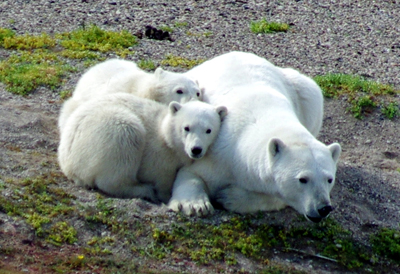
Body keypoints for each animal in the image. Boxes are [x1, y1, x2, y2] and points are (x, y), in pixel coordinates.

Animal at [57, 93, 227, 203]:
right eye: (186, 128)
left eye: (208, 130)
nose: (196, 149)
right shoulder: (158, 156)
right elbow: (162, 178)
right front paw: (163, 195)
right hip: (107, 131)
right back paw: (143, 190)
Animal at [168, 51, 340, 223]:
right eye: (303, 179)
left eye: (329, 179)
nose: (324, 208)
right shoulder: (219, 154)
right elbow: (192, 173)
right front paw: (195, 205)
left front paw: (229, 197)